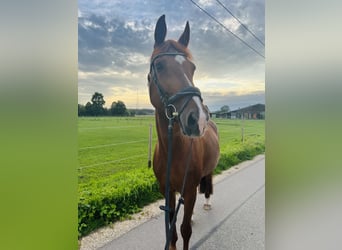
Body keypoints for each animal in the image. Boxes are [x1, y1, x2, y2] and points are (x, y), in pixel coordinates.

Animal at [147, 14, 219, 249]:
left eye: (193, 68)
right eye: (159, 65)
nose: (199, 119)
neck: (173, 150)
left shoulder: (189, 187)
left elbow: (185, 230)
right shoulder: (167, 191)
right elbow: (172, 233)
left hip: (206, 173)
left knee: (208, 184)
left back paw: (207, 203)